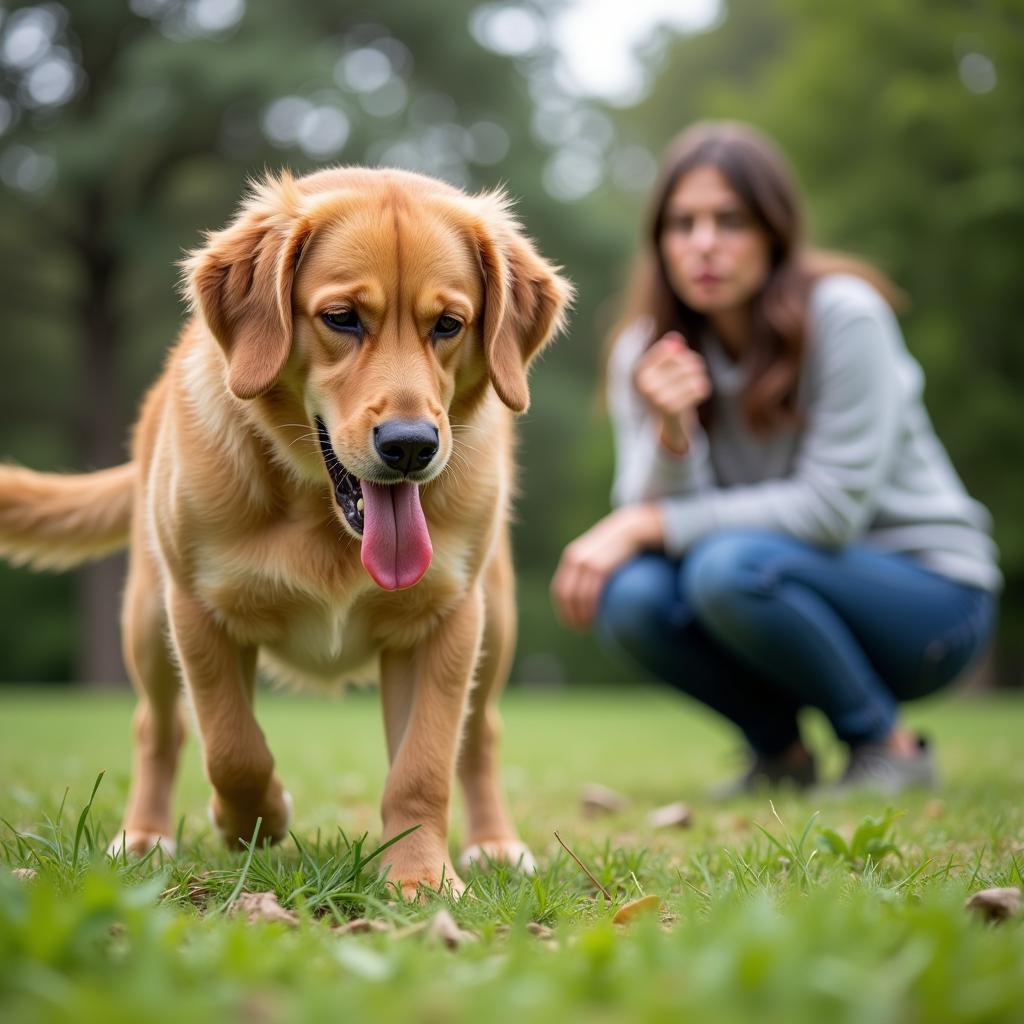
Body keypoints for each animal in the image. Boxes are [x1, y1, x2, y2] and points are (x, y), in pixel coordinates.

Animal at [0, 167, 573, 897]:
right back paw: (145, 838)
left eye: (449, 325)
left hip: (494, 620)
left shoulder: (445, 621)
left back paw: (495, 844)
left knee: (479, 738)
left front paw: (420, 877)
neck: (319, 512)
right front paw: (254, 820)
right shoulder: (198, 610)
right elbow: (232, 748)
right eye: (342, 318)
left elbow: (421, 766)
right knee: (158, 729)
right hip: (145, 620)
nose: (411, 445)